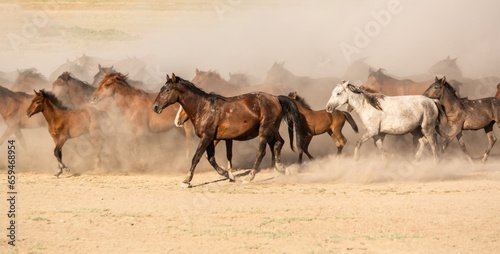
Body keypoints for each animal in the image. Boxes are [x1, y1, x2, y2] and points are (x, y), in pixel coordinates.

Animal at [151, 73, 300, 187]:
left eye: (167, 90)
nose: (155, 107)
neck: (204, 108)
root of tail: (275, 98)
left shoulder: (206, 137)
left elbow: (196, 157)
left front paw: (186, 181)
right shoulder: (212, 138)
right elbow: (211, 158)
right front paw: (228, 174)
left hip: (264, 130)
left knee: (261, 152)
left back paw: (249, 178)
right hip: (272, 130)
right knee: (278, 143)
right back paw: (282, 169)